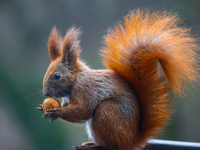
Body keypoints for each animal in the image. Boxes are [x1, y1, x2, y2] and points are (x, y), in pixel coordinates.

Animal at [39, 9, 198, 149]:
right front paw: (44, 107)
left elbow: (82, 110)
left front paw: (57, 112)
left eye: (57, 76)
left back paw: (94, 146)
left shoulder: (86, 90)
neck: (77, 79)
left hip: (107, 113)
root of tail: (132, 139)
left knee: (112, 145)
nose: (46, 93)